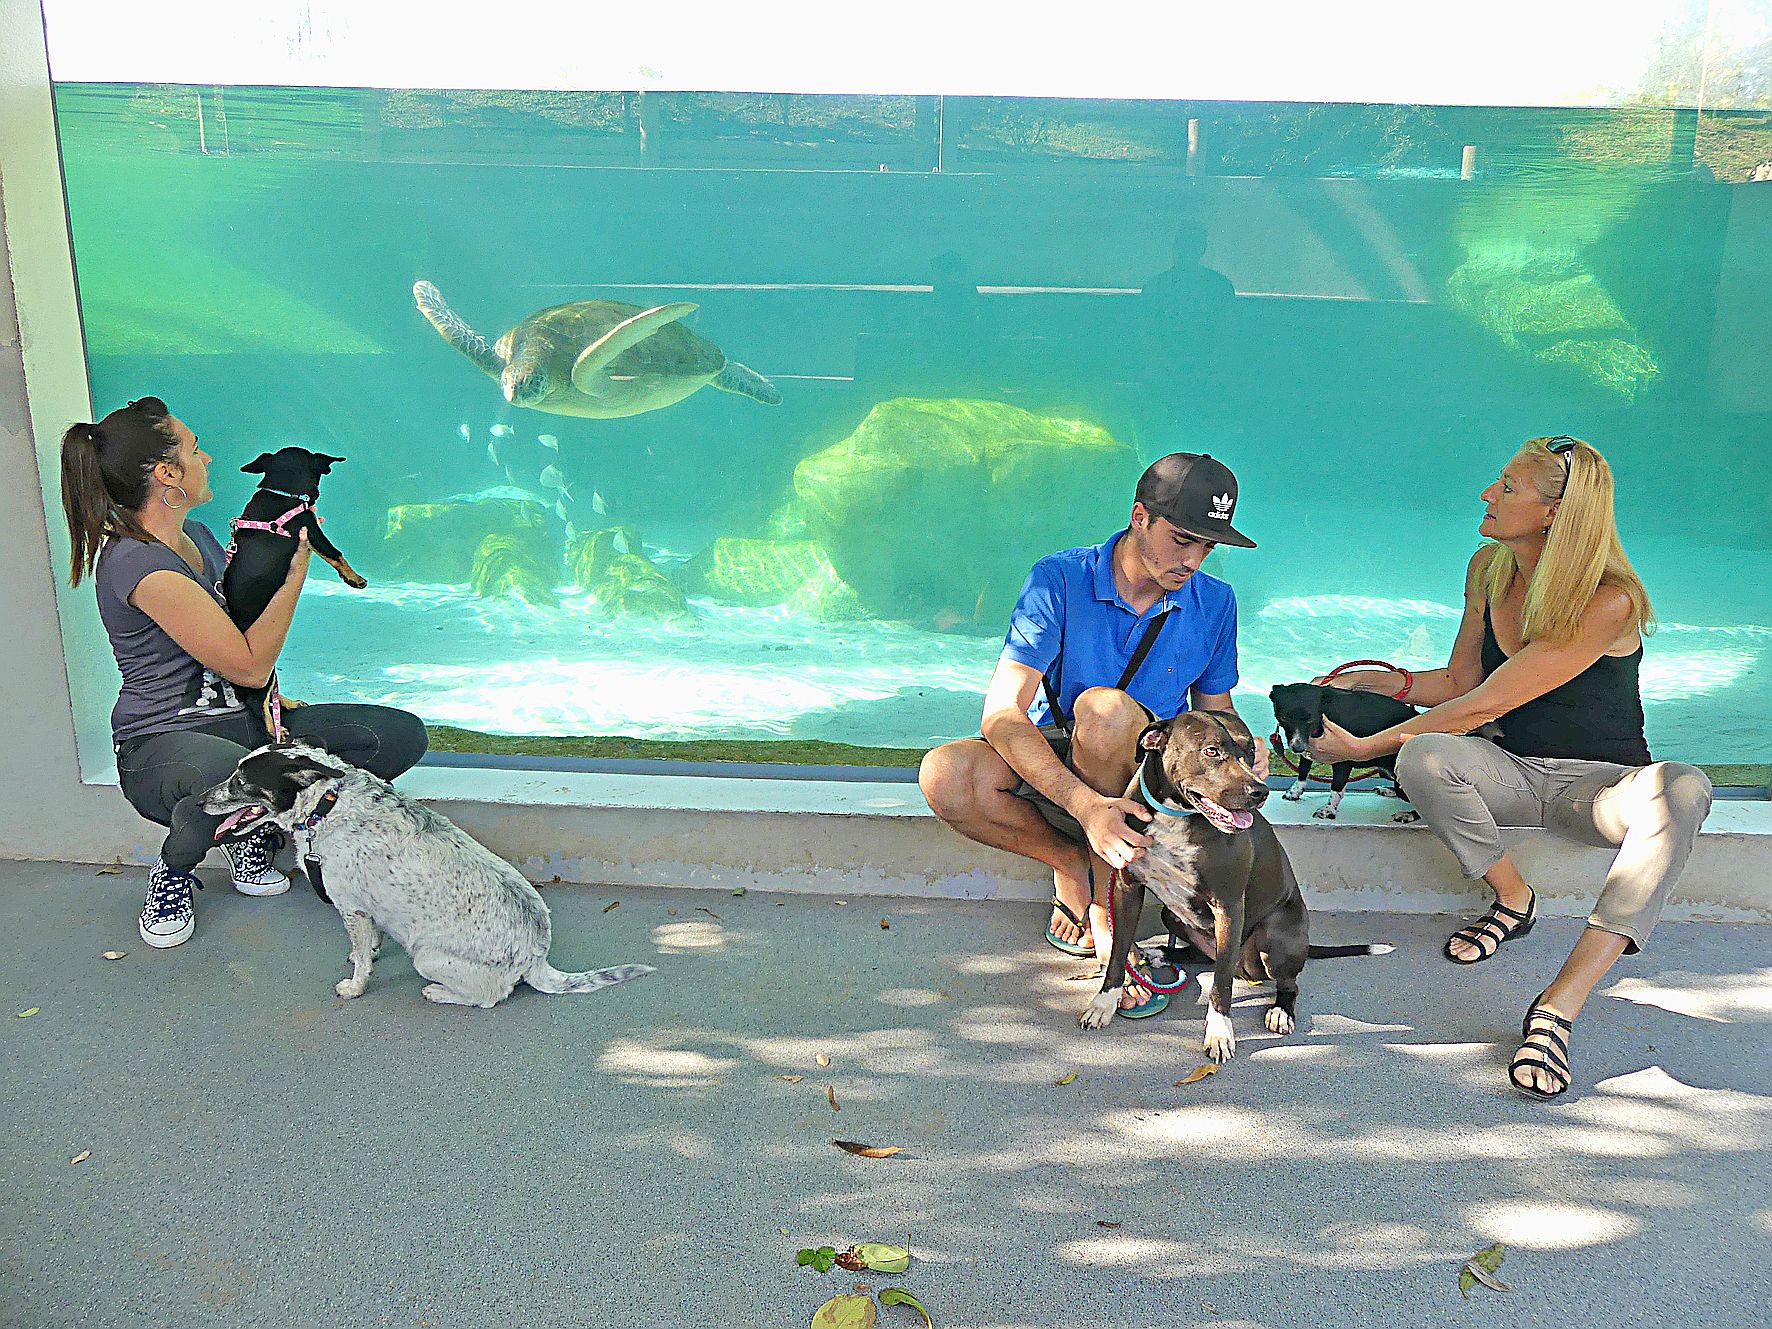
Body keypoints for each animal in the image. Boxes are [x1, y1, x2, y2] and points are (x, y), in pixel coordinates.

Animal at [199, 740, 659, 1006]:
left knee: (490, 996)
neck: (328, 803)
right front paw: (365, 953)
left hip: (426, 956)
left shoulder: (352, 908)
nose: (199, 800)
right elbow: (368, 945)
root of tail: (537, 956)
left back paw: (439, 992)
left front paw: (354, 985)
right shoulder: (367, 913)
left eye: (240, 781)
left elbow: (361, 964)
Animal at [221, 450, 366, 751]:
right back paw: (275, 730)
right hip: (263, 670)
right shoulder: (311, 529)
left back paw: (288, 703)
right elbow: (336, 553)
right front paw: (354, 578)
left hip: (270, 666)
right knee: (258, 702)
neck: (281, 493)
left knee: (271, 694)